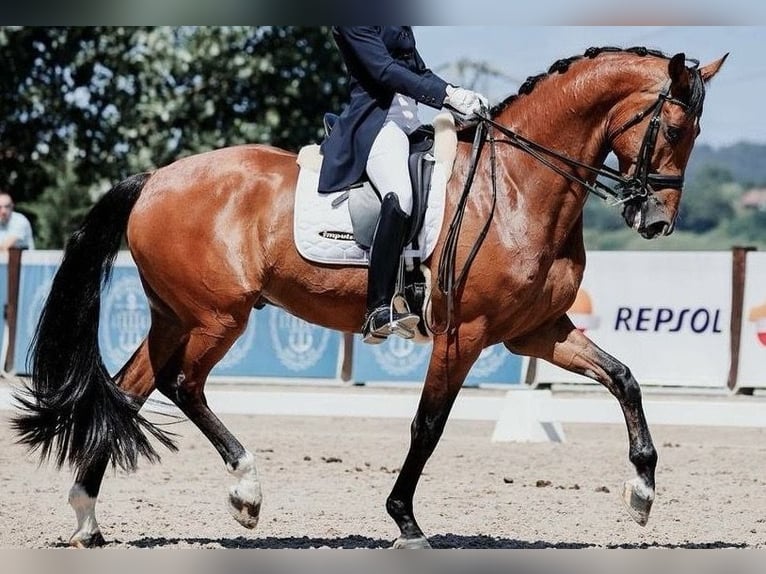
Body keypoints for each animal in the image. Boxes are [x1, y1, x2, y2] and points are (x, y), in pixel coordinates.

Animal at [13, 46, 726, 549]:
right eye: (672, 129)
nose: (656, 223)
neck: (522, 186)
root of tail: (156, 177)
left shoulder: (537, 330)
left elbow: (624, 377)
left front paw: (642, 490)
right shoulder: (463, 333)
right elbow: (428, 425)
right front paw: (405, 521)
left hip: (176, 313)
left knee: (129, 388)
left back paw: (87, 519)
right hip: (218, 315)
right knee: (180, 384)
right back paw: (246, 493)